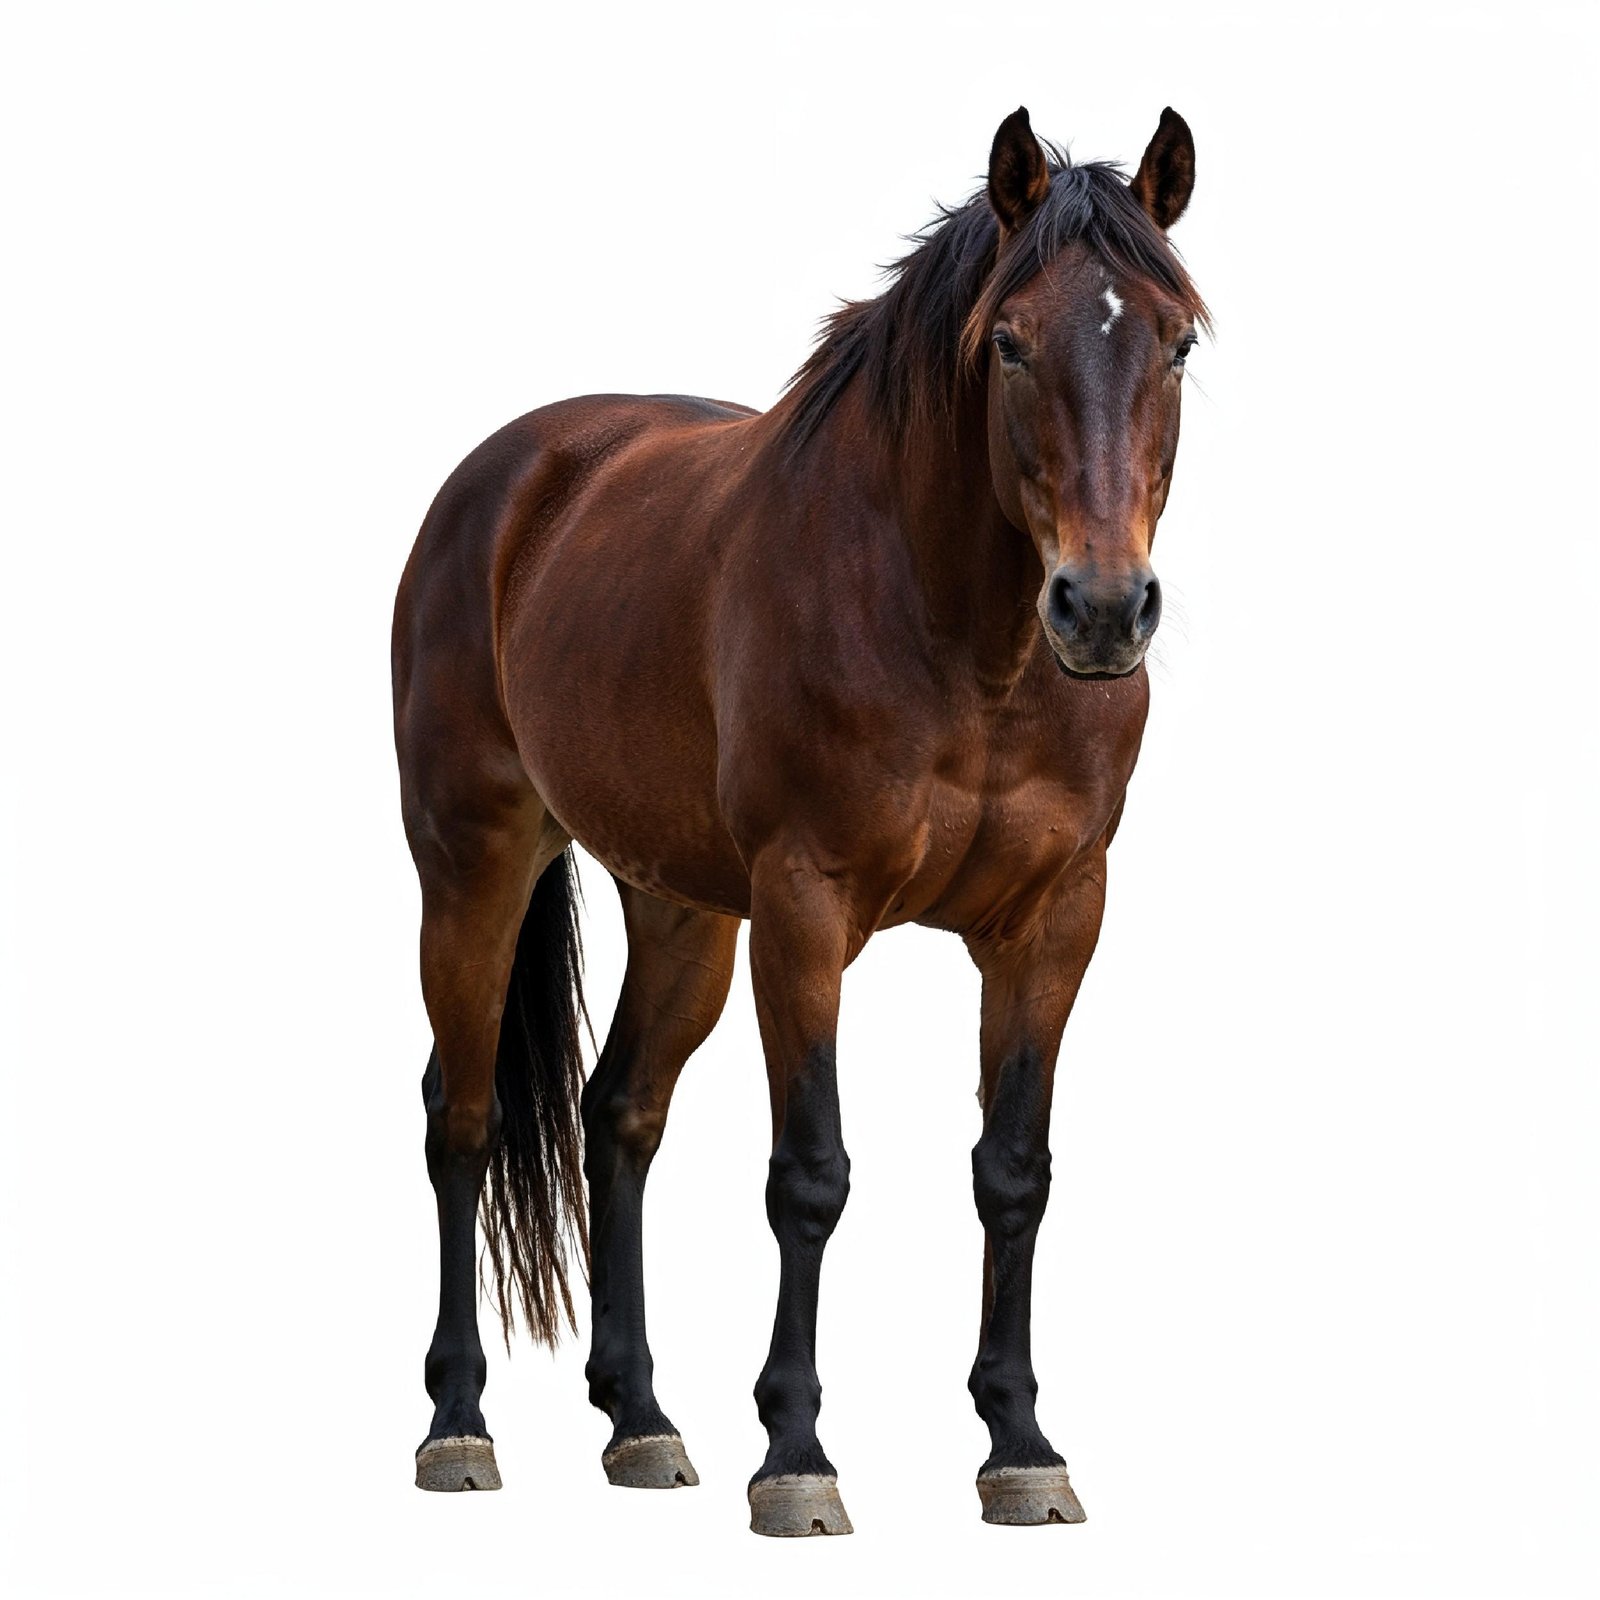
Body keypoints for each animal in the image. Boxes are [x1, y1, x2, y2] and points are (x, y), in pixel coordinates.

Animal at [392, 104, 1208, 1535]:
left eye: (1176, 342)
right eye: (1007, 341)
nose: (1103, 610)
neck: (958, 637)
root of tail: (506, 478)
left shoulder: (1054, 920)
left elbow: (1015, 1168)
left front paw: (1019, 1444)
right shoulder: (805, 909)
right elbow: (809, 1175)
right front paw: (796, 1455)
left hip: (679, 910)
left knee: (620, 1114)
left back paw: (643, 1422)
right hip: (474, 865)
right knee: (465, 1115)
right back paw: (457, 1425)